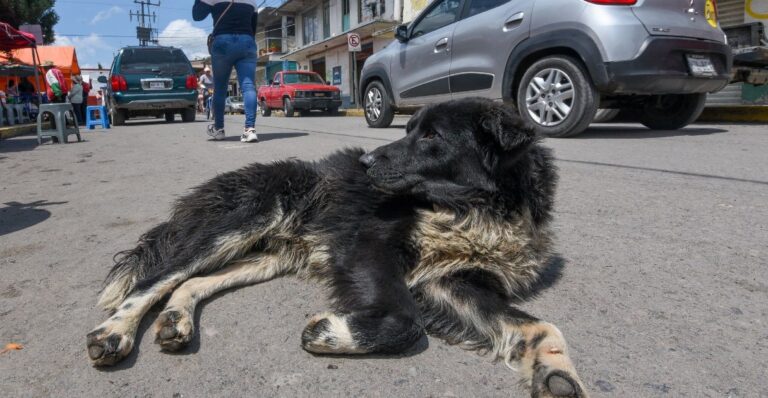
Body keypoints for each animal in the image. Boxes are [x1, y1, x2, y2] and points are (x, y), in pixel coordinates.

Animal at [85, 97, 588, 398]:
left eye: (431, 136)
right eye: (411, 129)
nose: (363, 161)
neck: (471, 210)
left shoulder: (451, 280)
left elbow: (541, 325)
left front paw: (557, 374)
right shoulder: (367, 246)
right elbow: (406, 322)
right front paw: (331, 333)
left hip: (268, 255)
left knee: (192, 282)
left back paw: (175, 319)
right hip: (238, 221)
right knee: (155, 279)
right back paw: (114, 332)